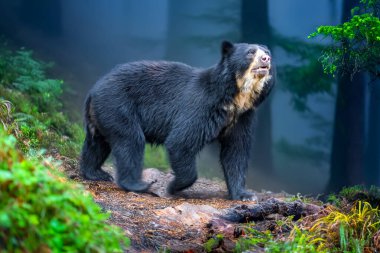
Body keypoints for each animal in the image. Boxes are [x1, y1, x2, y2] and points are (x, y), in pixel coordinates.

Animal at [80, 41, 274, 200]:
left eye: (266, 51)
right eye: (250, 52)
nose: (266, 58)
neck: (235, 96)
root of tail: (93, 90)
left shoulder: (243, 116)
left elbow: (236, 152)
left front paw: (244, 195)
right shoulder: (202, 105)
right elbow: (181, 142)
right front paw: (173, 186)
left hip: (103, 114)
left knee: (98, 144)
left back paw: (95, 173)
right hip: (118, 105)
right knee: (130, 141)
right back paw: (138, 184)